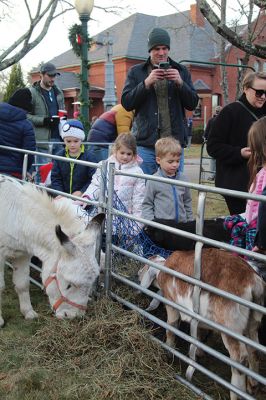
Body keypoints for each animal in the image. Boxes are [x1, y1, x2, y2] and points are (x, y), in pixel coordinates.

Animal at [139, 248, 264, 398]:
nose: (138, 273)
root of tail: (254, 280)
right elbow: (197, 333)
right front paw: (198, 352)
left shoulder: (171, 304)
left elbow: (171, 329)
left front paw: (169, 352)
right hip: (252, 323)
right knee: (254, 351)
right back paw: (253, 385)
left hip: (230, 326)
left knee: (240, 360)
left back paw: (236, 393)